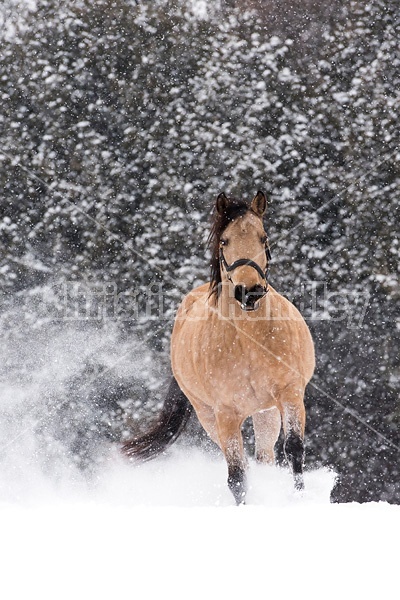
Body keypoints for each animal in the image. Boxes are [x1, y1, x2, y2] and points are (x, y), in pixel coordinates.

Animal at [122, 191, 316, 502]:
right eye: (224, 241)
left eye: (263, 237)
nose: (249, 292)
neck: (249, 341)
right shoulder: (226, 413)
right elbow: (236, 476)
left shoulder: (290, 393)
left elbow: (295, 450)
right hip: (209, 417)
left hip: (266, 411)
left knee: (265, 455)